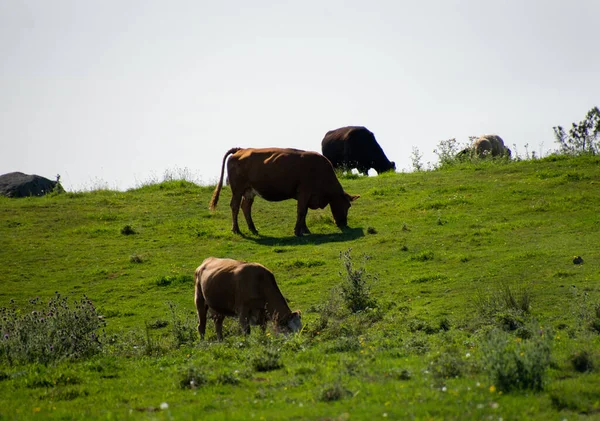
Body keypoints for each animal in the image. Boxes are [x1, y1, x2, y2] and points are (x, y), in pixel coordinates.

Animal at [210, 147, 358, 236]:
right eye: (347, 205)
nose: (344, 224)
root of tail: (241, 149)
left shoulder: (305, 196)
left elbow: (304, 212)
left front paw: (305, 230)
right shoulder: (304, 192)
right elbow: (301, 211)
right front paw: (298, 231)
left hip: (249, 191)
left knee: (245, 207)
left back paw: (253, 228)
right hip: (238, 189)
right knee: (235, 206)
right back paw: (236, 229)